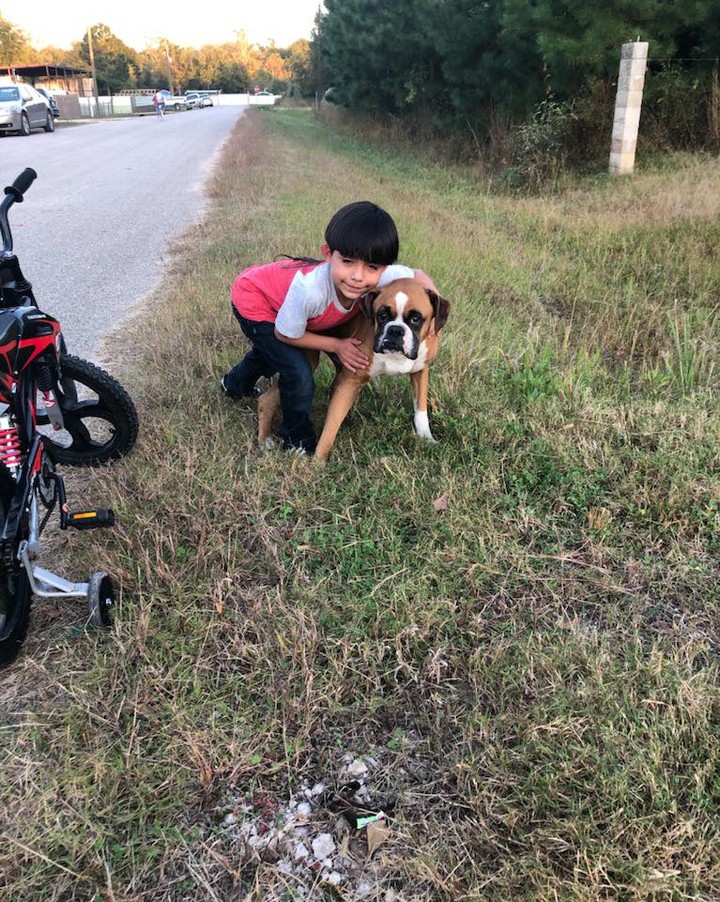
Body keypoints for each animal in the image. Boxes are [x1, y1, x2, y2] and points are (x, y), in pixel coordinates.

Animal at [258, 278, 450, 462]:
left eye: (416, 319)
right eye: (382, 315)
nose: (395, 330)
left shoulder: (421, 372)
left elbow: (421, 408)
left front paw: (427, 438)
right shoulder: (351, 382)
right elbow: (332, 423)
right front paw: (319, 460)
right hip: (307, 359)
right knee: (268, 399)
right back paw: (266, 441)